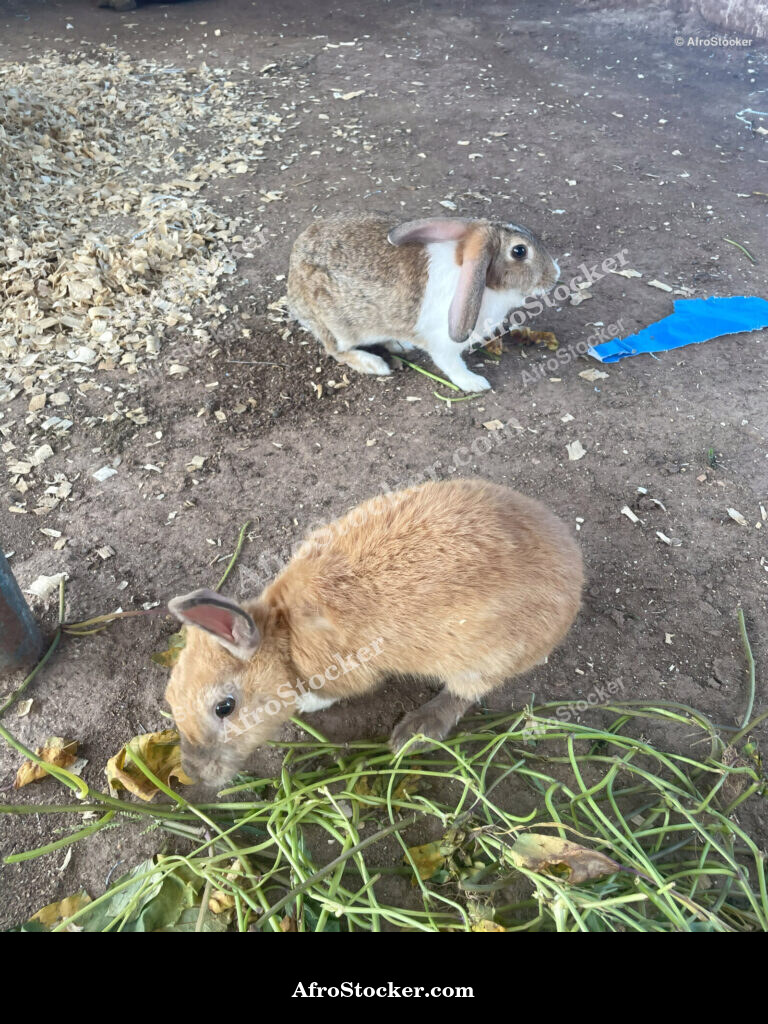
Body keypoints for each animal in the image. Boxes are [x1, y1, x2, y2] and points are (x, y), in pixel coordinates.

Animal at [164, 478, 583, 788]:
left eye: (225, 707)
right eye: (170, 697)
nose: (194, 773)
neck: (284, 637)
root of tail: (574, 577)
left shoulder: (345, 672)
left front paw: (305, 704)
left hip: (485, 659)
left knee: (465, 693)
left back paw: (413, 732)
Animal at [287, 215, 559, 393]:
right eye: (519, 251)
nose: (556, 274)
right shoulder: (444, 346)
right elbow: (453, 366)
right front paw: (475, 383)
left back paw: (400, 344)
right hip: (341, 328)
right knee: (336, 350)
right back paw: (374, 364)